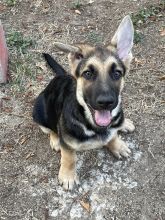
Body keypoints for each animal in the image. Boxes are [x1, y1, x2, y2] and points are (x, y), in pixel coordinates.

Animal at [32, 15, 135, 190]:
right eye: (87, 73)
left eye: (117, 73)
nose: (106, 102)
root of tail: (61, 75)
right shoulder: (68, 144)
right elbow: (69, 157)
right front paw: (68, 175)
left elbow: (113, 135)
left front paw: (117, 144)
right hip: (40, 112)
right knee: (50, 128)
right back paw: (55, 139)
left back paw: (124, 123)